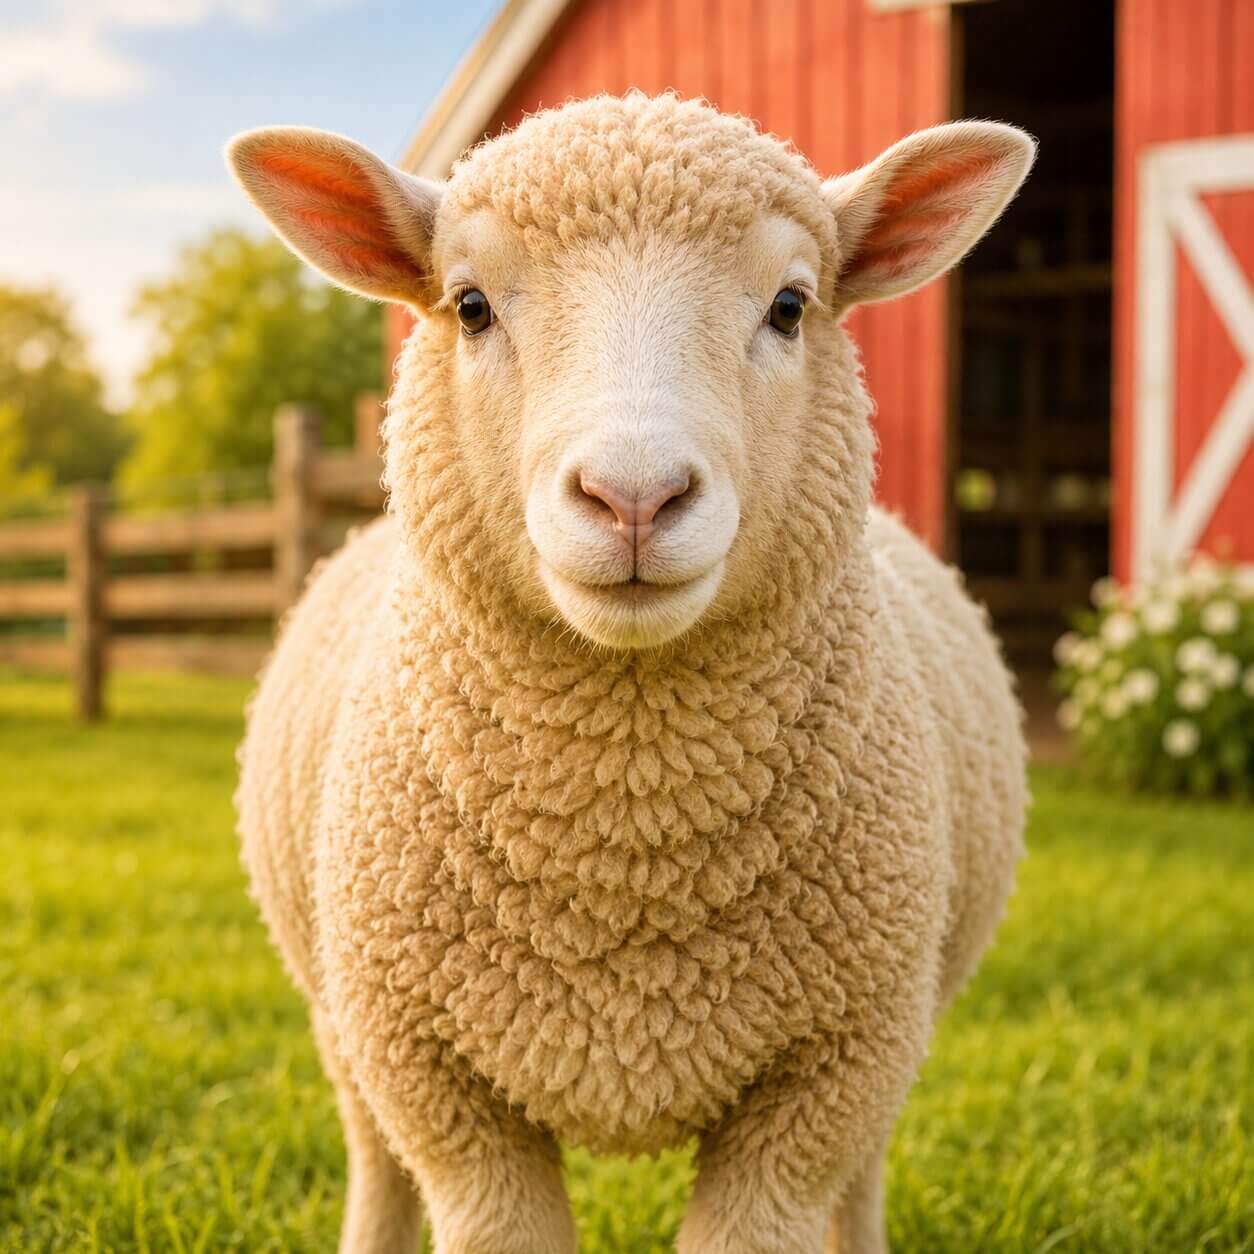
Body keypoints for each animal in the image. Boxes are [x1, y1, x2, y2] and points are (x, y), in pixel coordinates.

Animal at [229, 93, 1033, 1254]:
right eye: (470, 307)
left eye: (790, 307)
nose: (636, 495)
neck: (628, 835)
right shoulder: (438, 1080)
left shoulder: (821, 1079)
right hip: (342, 1018)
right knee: (376, 1162)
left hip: (895, 1036)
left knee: (861, 1182)